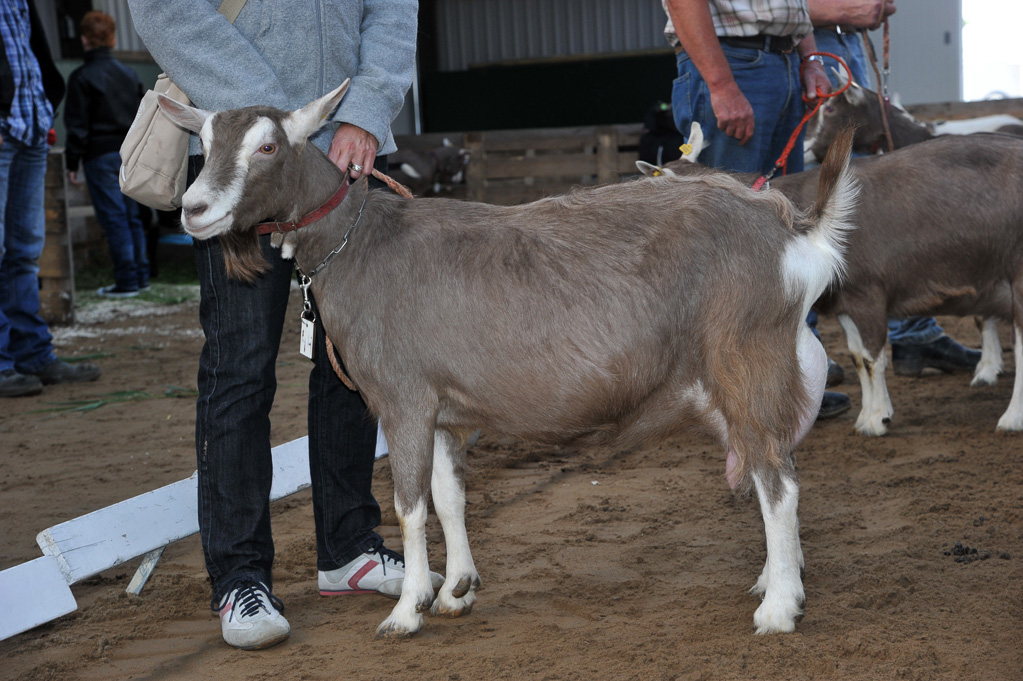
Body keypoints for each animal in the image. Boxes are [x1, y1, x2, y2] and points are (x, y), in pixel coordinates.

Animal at [159, 83, 859, 638]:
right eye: (204, 145)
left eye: (267, 148)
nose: (194, 210)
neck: (358, 242)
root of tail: (791, 228)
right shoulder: (444, 409)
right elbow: (449, 497)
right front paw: (456, 589)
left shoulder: (403, 400)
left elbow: (410, 502)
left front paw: (407, 610)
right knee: (771, 465)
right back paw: (773, 581)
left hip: (745, 358)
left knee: (777, 479)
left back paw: (778, 609)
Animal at [638, 122, 1023, 431]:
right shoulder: (844, 300)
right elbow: (857, 357)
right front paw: (869, 413)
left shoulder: (869, 292)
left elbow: (873, 356)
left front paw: (878, 420)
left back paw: (1011, 418)